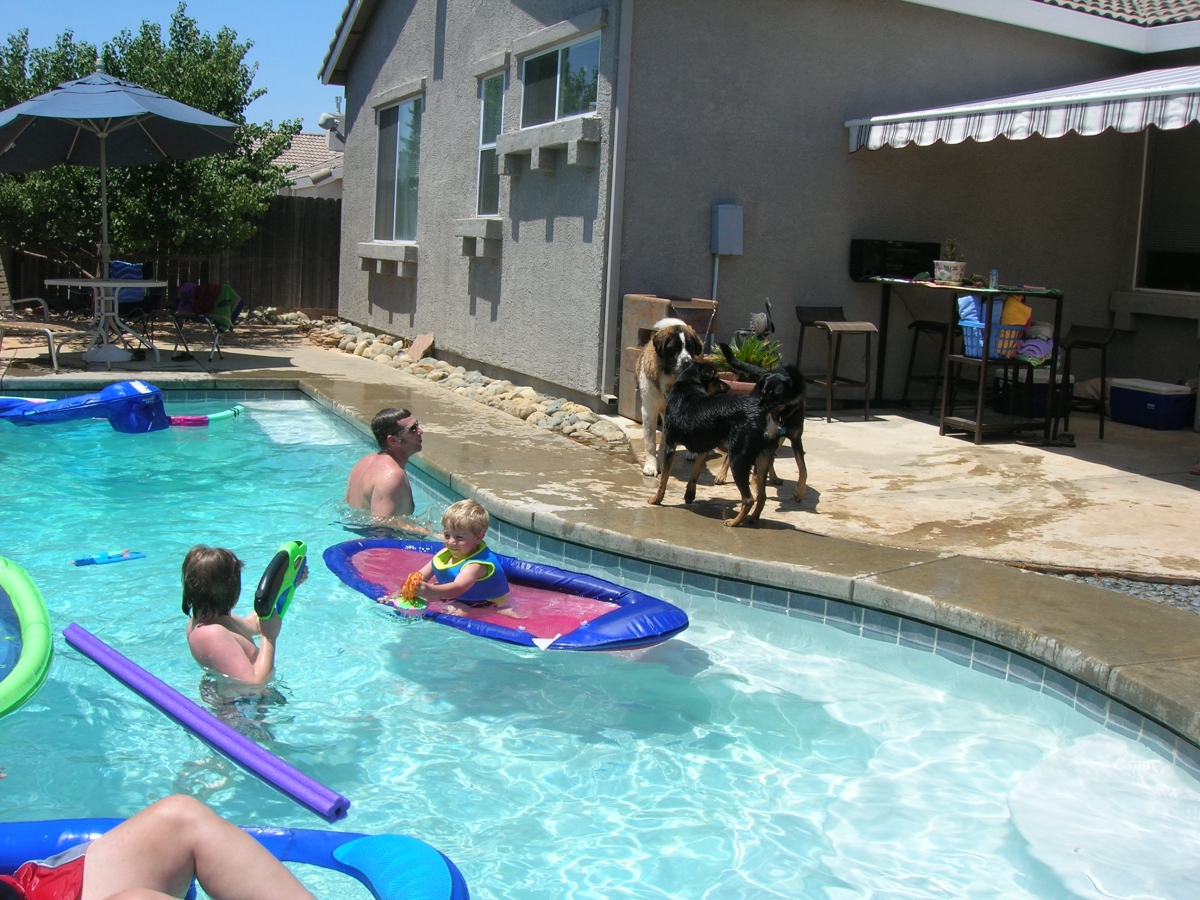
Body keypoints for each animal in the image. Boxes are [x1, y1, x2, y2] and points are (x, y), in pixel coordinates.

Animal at [637, 318, 703, 477]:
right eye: (673, 349)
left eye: (690, 348)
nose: (687, 362)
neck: (669, 379)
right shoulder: (649, 410)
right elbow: (650, 442)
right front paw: (651, 466)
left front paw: (661, 463)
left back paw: (692, 452)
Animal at [648, 360, 803, 527]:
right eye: (716, 378)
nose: (728, 386)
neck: (688, 385)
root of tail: (761, 408)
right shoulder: (704, 447)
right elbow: (695, 473)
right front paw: (689, 495)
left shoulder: (670, 446)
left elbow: (663, 479)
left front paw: (656, 499)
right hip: (763, 459)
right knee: (761, 496)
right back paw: (753, 518)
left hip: (738, 460)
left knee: (748, 499)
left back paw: (734, 522)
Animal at [714, 344, 808, 502]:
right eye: (763, 394)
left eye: (775, 396)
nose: (757, 408)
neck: (783, 414)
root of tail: (765, 372)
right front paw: (754, 487)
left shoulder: (796, 439)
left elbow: (803, 468)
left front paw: (800, 491)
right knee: (730, 456)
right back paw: (722, 475)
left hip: (777, 441)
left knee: (771, 458)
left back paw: (774, 477)